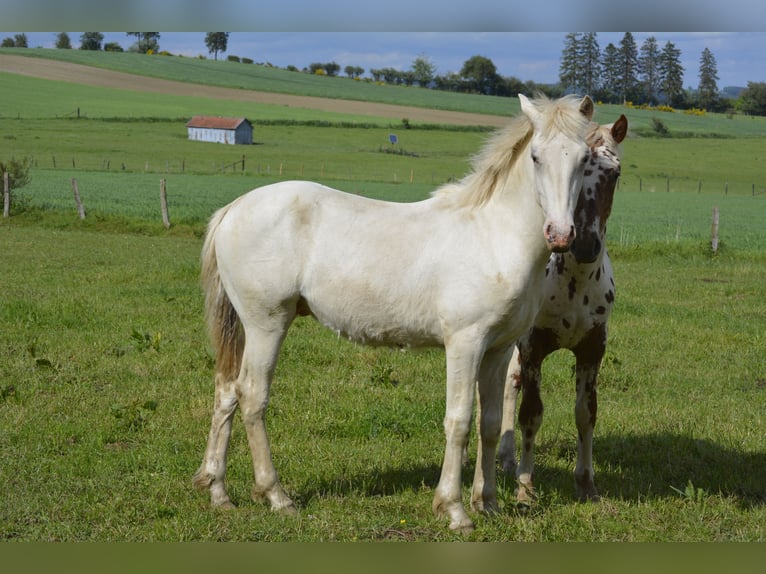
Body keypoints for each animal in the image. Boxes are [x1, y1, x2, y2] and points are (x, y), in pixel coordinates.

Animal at [195, 95, 596, 536]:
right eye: (536, 157)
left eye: (584, 159)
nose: (560, 235)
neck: (494, 235)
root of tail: (234, 208)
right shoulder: (465, 343)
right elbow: (459, 421)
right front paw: (453, 509)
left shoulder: (500, 349)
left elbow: (490, 424)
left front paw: (487, 503)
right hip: (267, 323)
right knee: (252, 396)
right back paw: (276, 495)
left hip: (246, 327)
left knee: (226, 392)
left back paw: (218, 491)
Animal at [498, 115, 632, 506]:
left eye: (614, 173)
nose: (585, 245)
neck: (575, 282)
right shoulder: (533, 346)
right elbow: (532, 413)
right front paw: (525, 487)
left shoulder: (592, 348)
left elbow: (586, 414)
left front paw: (586, 483)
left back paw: (506, 458)